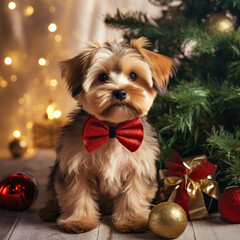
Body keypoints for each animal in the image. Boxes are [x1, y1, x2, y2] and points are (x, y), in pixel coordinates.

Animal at [39, 37, 174, 232]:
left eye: (133, 76)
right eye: (102, 77)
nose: (120, 91)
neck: (113, 130)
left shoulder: (139, 168)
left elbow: (134, 195)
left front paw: (132, 221)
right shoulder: (75, 167)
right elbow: (77, 195)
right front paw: (79, 221)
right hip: (55, 174)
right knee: (51, 192)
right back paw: (49, 211)